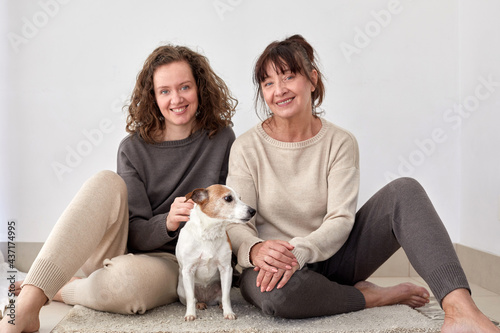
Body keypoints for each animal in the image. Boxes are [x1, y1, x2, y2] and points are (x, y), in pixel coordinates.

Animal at [175, 184, 254, 320]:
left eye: (240, 198)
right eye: (228, 198)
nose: (253, 211)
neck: (210, 234)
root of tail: (208, 300)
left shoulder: (226, 269)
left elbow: (226, 297)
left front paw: (228, 312)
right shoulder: (188, 270)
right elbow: (191, 298)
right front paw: (190, 314)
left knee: (221, 298)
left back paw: (220, 305)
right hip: (182, 290)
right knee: (194, 299)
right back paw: (199, 304)